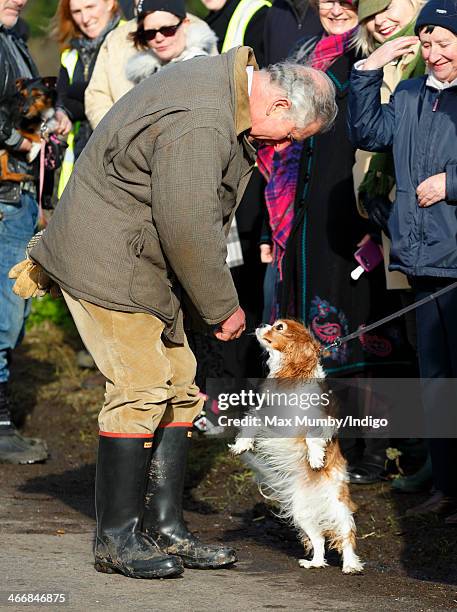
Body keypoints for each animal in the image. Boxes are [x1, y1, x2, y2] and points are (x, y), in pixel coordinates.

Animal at [230, 320, 362, 572]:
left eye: (279, 327)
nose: (262, 323)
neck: (291, 375)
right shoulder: (266, 412)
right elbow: (251, 423)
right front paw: (241, 445)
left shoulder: (320, 418)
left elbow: (312, 437)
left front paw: (316, 458)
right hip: (302, 513)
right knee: (318, 539)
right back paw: (315, 563)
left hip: (338, 505)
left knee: (346, 535)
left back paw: (350, 564)